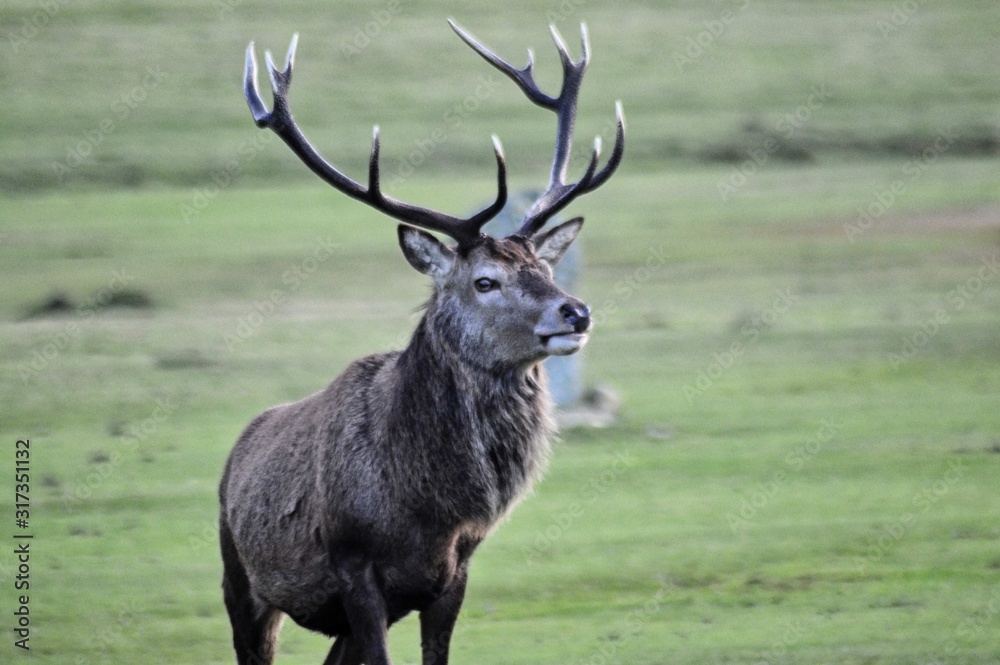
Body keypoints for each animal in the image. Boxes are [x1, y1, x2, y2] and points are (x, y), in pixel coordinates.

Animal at [219, 19, 624, 665]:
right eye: (485, 281)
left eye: (545, 266)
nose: (576, 311)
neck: (428, 508)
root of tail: (236, 453)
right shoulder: (354, 564)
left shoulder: (453, 572)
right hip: (241, 577)